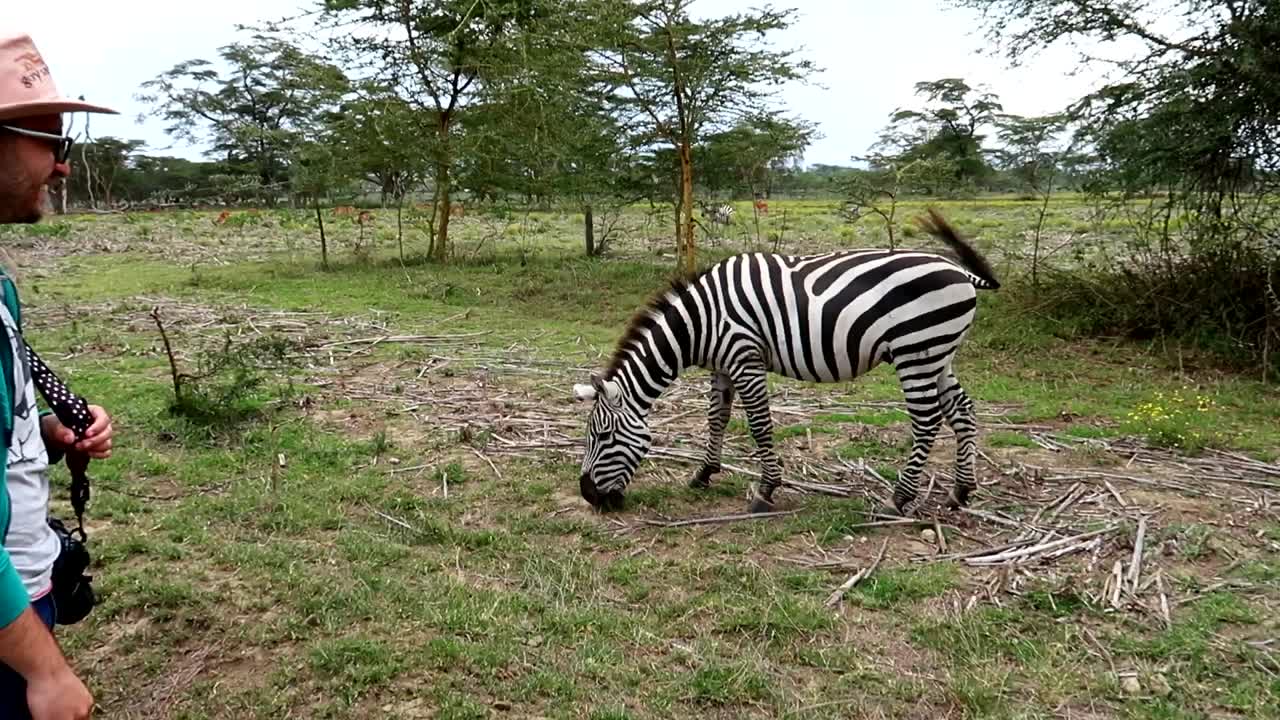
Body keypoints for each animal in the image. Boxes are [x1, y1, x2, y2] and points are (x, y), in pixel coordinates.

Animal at [572, 209, 1000, 516]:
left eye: (602, 436)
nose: (589, 495)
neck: (700, 322)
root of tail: (959, 272)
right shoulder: (722, 365)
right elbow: (716, 419)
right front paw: (704, 474)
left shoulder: (745, 357)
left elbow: (760, 425)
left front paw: (765, 491)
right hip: (938, 353)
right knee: (962, 410)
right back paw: (960, 492)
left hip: (916, 351)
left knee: (927, 422)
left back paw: (898, 499)